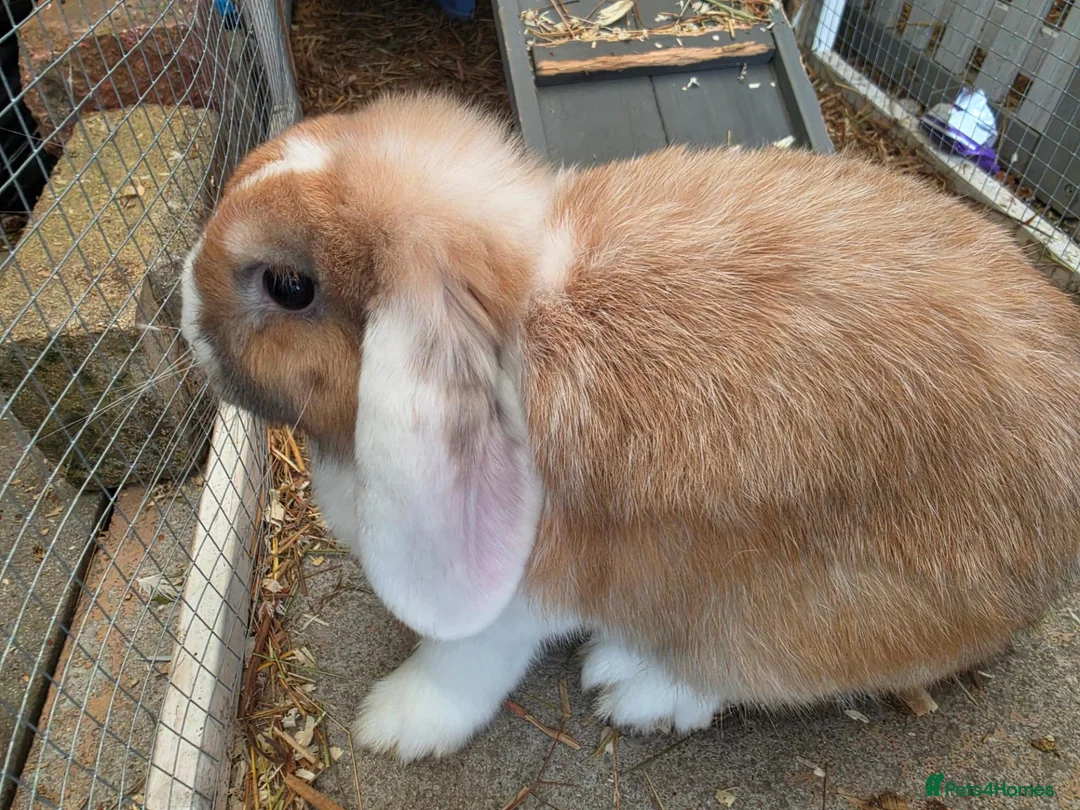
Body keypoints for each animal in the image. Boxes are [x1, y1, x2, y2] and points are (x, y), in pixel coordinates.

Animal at [180, 90, 1080, 764]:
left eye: (290, 286)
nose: (183, 309)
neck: (527, 318)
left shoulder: (521, 592)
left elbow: (463, 662)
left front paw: (395, 723)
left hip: (795, 615)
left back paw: (633, 685)